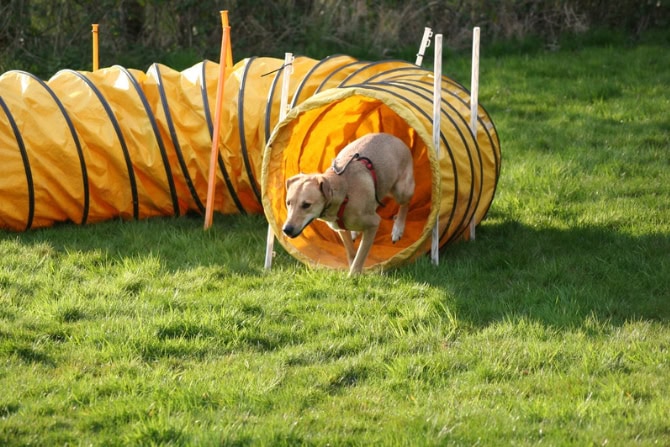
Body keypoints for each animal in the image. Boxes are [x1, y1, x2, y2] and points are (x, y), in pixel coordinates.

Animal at [282, 132, 414, 276]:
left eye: (306, 205)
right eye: (288, 203)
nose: (286, 230)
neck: (343, 195)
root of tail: (395, 138)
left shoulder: (373, 223)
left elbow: (360, 255)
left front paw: (353, 276)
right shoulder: (341, 229)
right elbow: (351, 253)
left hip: (401, 191)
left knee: (406, 204)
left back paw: (398, 228)